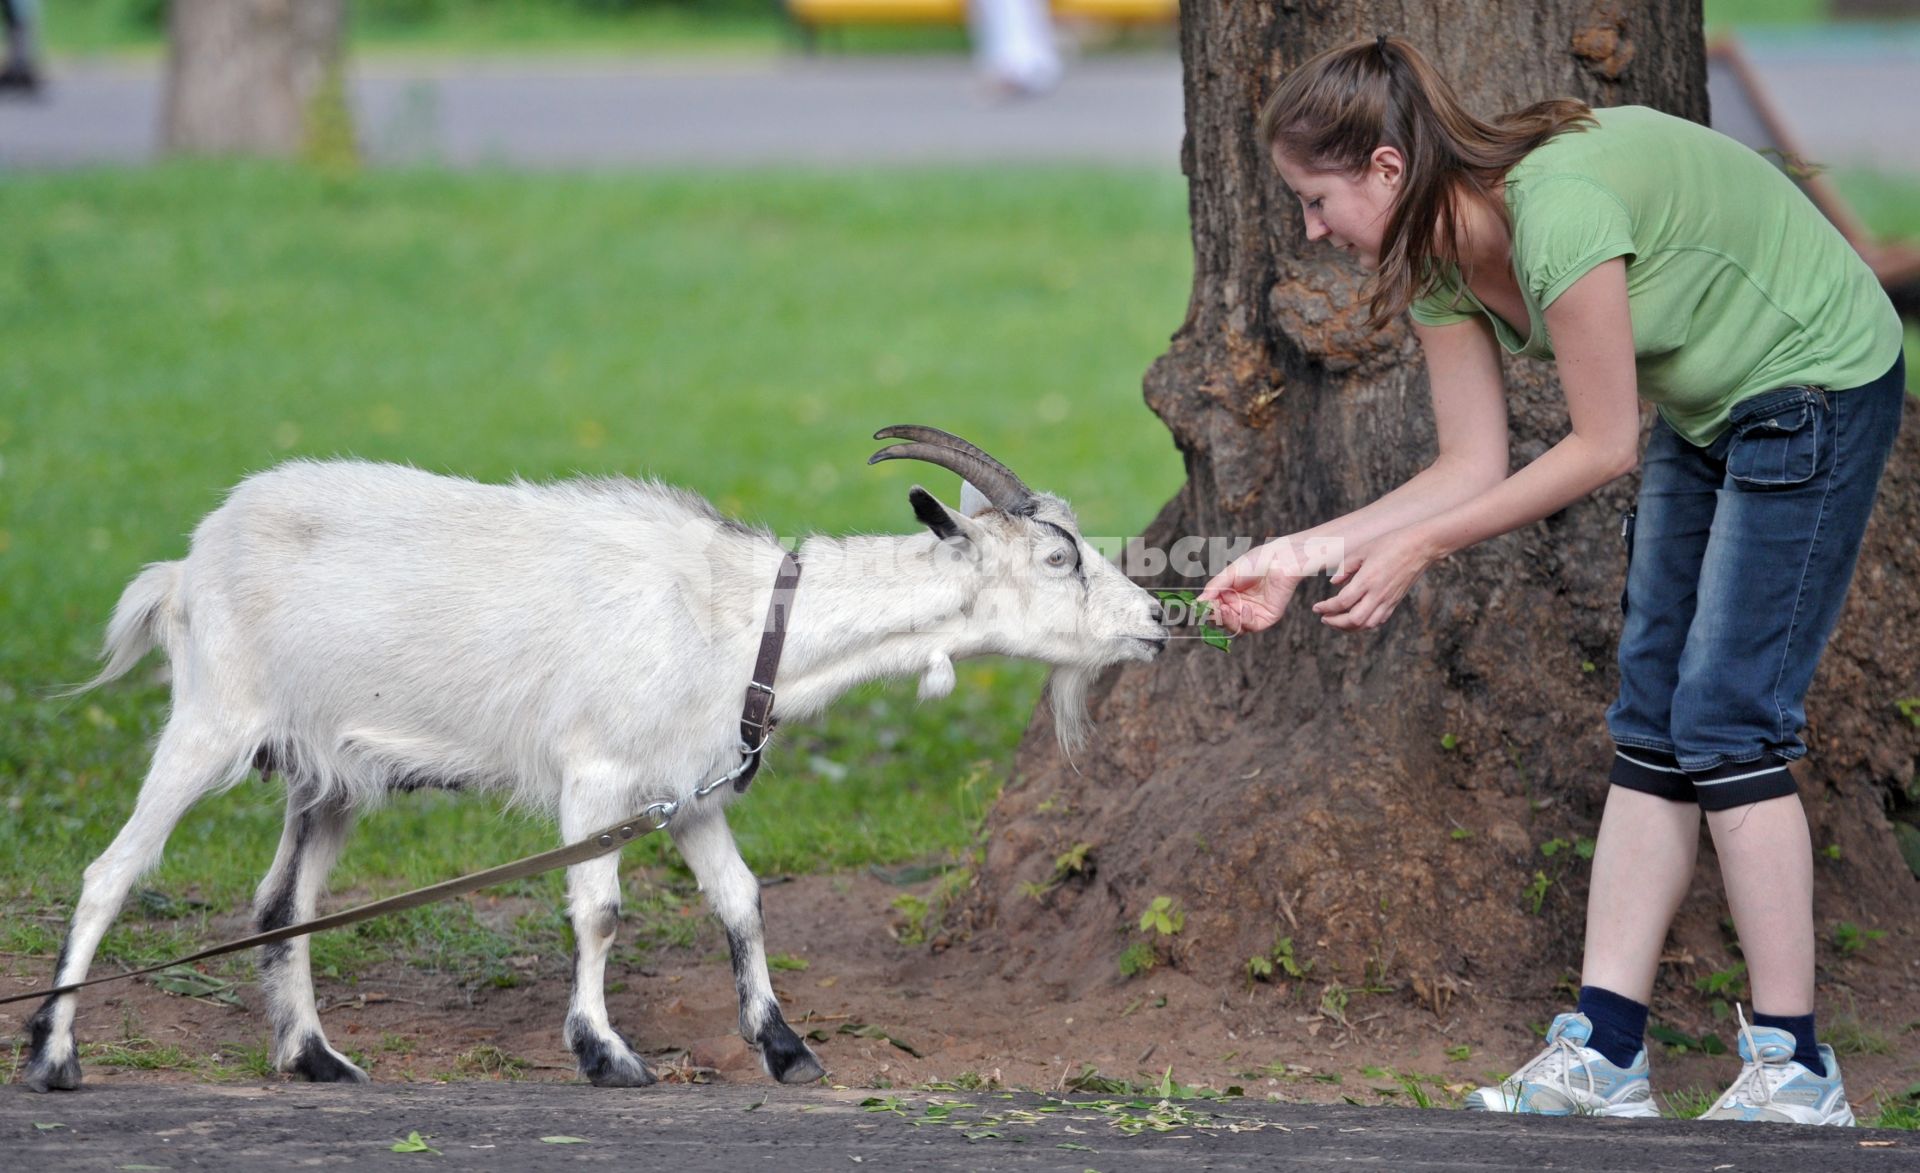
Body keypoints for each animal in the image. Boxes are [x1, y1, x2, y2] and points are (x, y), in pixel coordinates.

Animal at [18, 430, 1167, 1090]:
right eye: (1060, 557)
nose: (1157, 621)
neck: (741, 617)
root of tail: (187, 562)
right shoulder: (598, 775)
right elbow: (601, 912)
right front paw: (605, 1053)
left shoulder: (688, 790)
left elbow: (744, 901)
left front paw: (786, 1049)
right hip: (211, 718)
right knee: (111, 872)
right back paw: (53, 1054)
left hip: (325, 771)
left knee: (280, 903)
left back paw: (314, 1057)